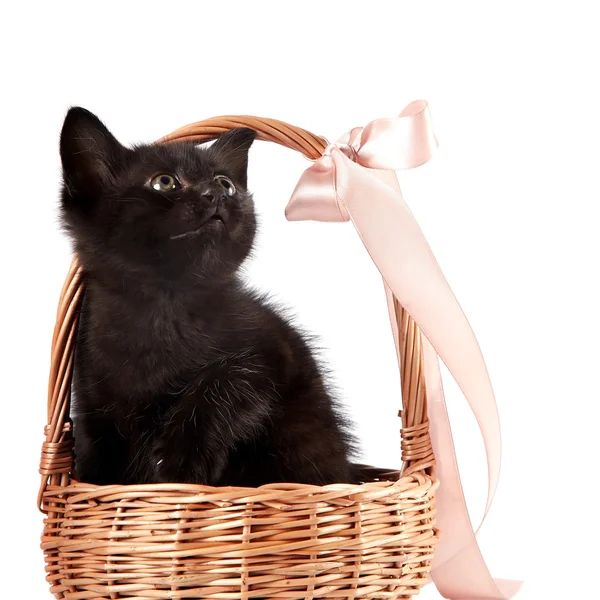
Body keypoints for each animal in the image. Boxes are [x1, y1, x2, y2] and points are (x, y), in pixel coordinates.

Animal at [59, 108, 356, 486]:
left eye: (226, 182)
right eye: (164, 182)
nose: (216, 193)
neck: (164, 306)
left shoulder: (272, 350)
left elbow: (227, 377)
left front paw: (180, 459)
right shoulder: (91, 403)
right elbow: (98, 457)